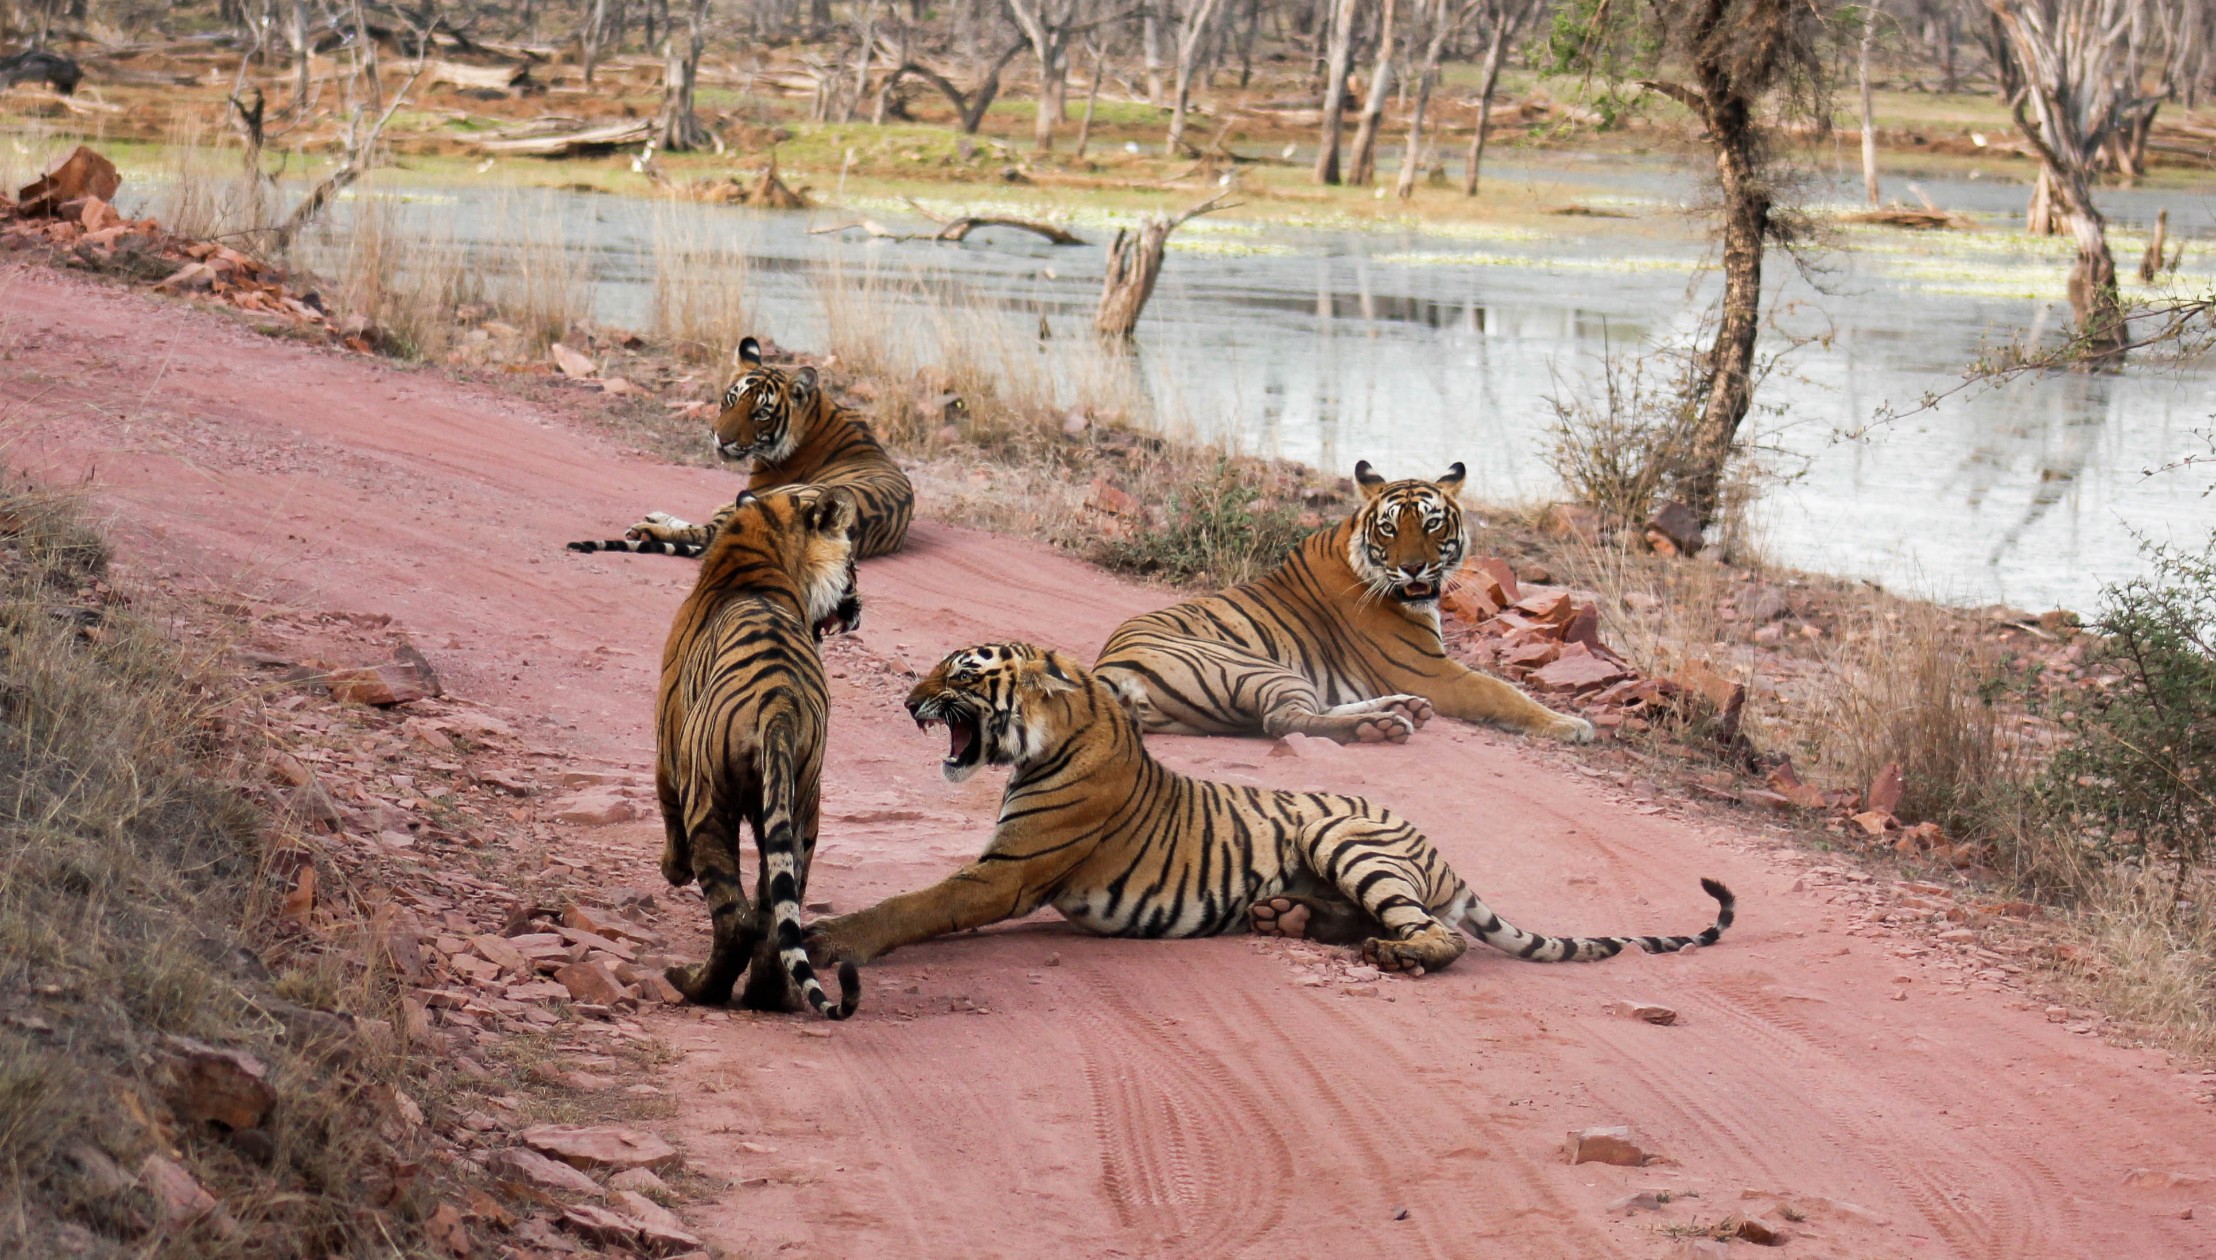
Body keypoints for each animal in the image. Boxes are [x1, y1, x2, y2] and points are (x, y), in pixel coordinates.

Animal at [569, 337, 914, 560]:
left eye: (761, 413)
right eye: (732, 399)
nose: (721, 439)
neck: (819, 414)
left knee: (705, 532)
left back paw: (645, 529)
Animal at [655, 483, 864, 1018]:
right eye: (853, 563)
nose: (858, 608)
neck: (760, 543)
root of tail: (779, 708)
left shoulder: (666, 747)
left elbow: (666, 811)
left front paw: (673, 871)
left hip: (709, 803)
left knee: (737, 921)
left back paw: (694, 986)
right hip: (802, 808)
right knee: (774, 921)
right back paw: (770, 996)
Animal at [802, 642, 1732, 977]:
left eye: (961, 673)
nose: (907, 700)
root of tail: (1440, 852)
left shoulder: (1004, 875)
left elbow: (915, 903)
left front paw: (831, 938)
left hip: (1344, 835)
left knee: (1439, 933)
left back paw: (1395, 955)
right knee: (1377, 918)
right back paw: (1285, 918)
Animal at [1093, 460, 1593, 747]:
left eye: (1431, 523)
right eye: (1389, 528)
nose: (1414, 568)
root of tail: (1107, 672)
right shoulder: (1431, 670)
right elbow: (1504, 692)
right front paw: (1572, 725)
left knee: (1299, 711)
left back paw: (1400, 709)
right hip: (1256, 667)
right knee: (1283, 720)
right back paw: (1384, 725)